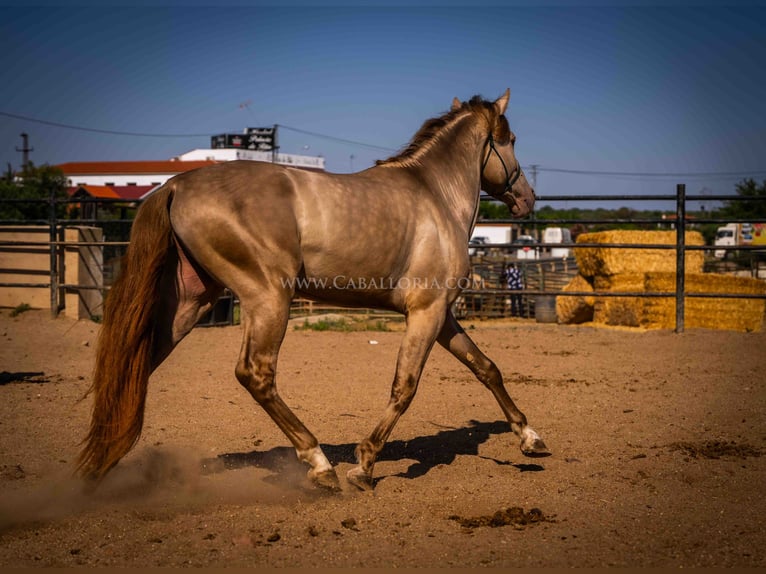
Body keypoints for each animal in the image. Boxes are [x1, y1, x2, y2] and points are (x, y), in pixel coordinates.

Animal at [79, 90, 552, 490]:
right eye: (511, 139)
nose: (527, 198)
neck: (435, 195)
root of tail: (175, 184)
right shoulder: (426, 312)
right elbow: (405, 386)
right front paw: (364, 464)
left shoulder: (442, 314)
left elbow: (486, 367)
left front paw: (531, 439)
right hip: (269, 299)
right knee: (255, 374)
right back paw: (320, 463)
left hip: (193, 302)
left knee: (139, 362)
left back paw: (101, 464)